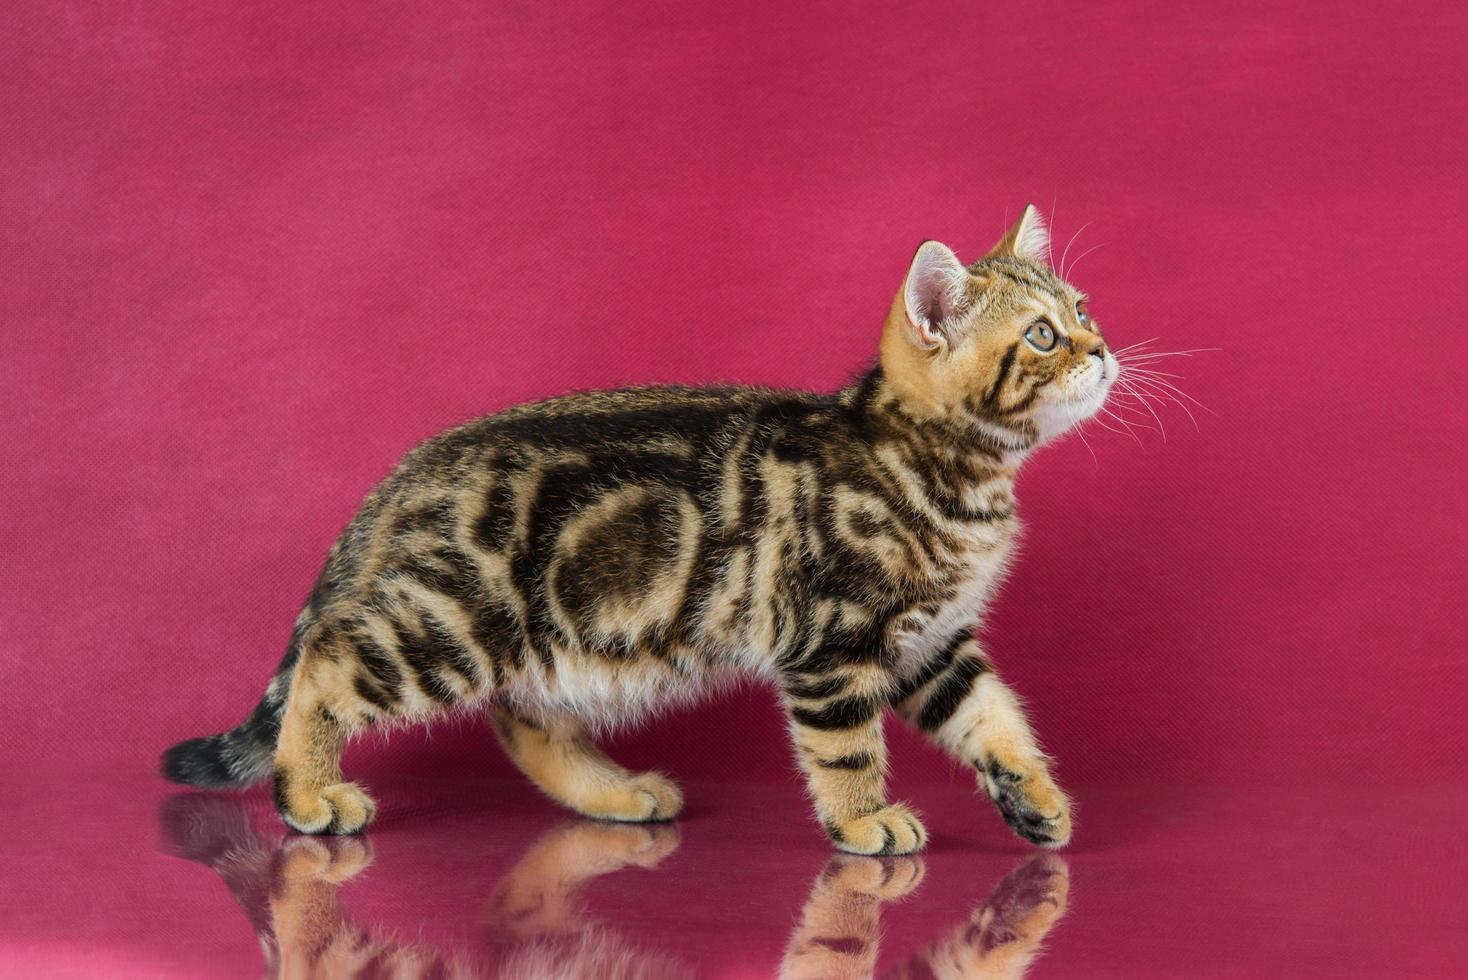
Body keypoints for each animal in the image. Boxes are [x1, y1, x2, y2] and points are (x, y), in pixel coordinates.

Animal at [160, 205, 1115, 850]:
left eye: (1083, 309)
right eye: (1041, 336)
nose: (1103, 350)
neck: (951, 474)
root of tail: (405, 475)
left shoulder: (935, 645)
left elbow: (994, 719)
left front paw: (1037, 799)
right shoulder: (833, 644)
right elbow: (847, 750)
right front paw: (865, 819)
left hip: (542, 643)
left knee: (523, 719)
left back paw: (616, 797)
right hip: (449, 625)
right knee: (328, 656)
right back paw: (309, 796)